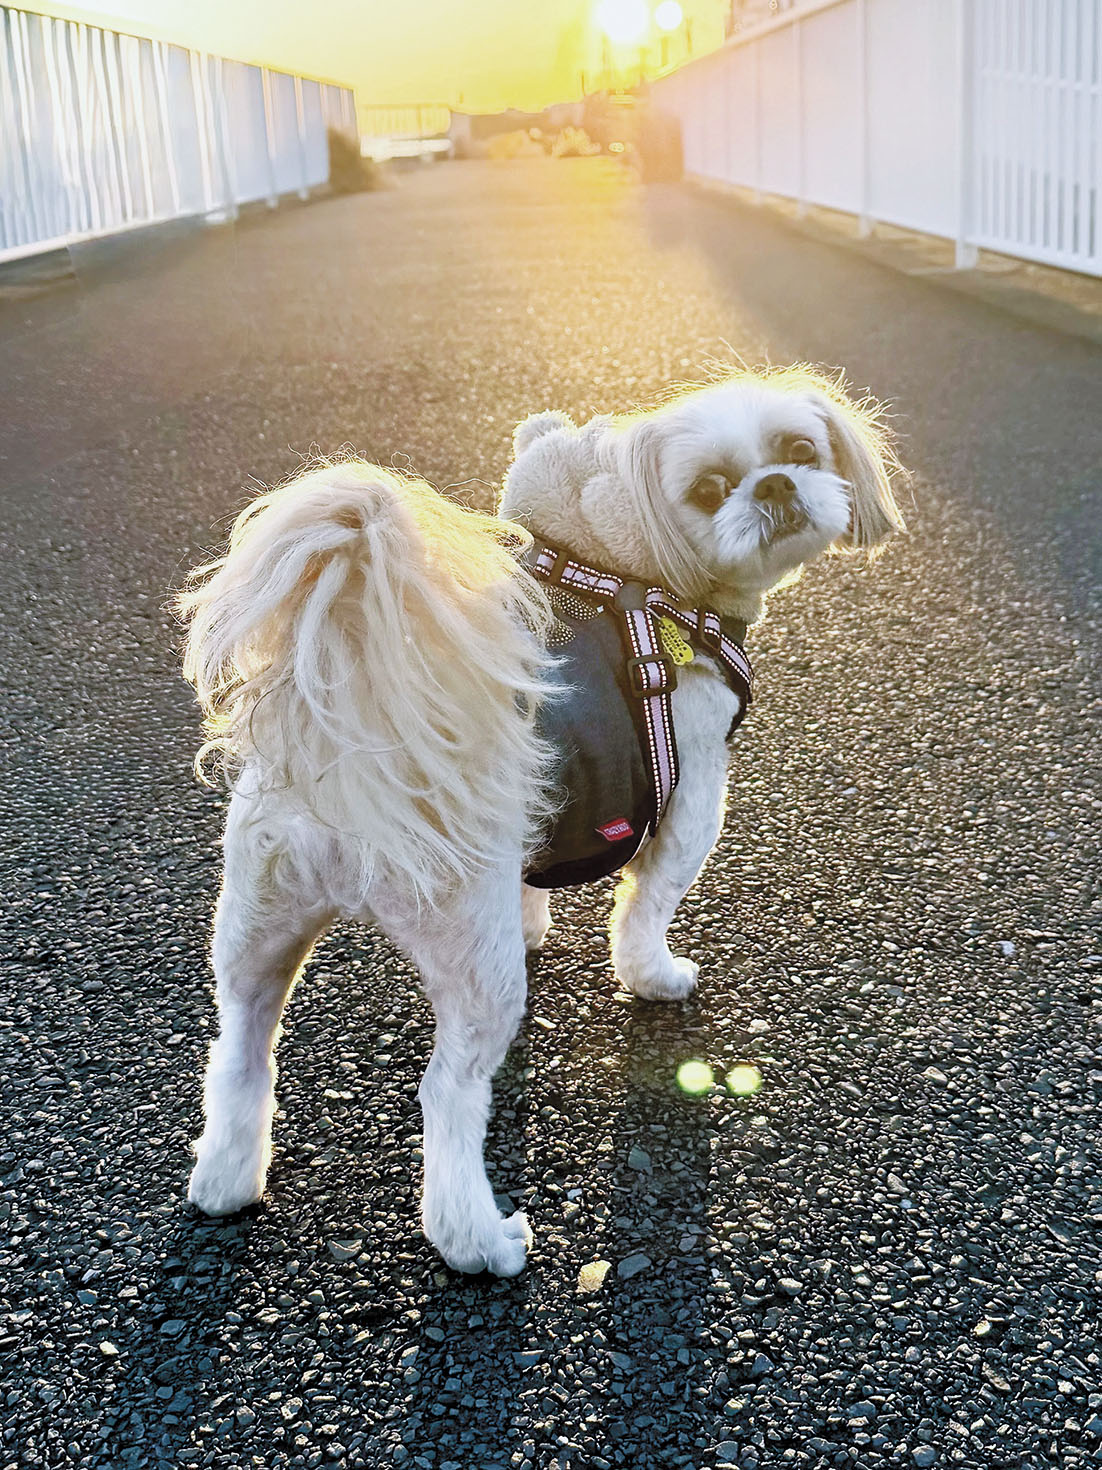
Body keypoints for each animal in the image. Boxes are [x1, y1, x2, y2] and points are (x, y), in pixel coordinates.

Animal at [177, 367, 903, 1276]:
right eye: (708, 490)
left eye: (801, 449)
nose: (775, 484)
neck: (614, 567)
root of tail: (351, 752)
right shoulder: (690, 792)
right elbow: (648, 908)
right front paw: (655, 977)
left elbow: (534, 878)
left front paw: (536, 921)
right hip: (467, 959)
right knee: (449, 1092)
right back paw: (483, 1242)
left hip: (257, 918)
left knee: (241, 1049)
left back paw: (225, 1181)